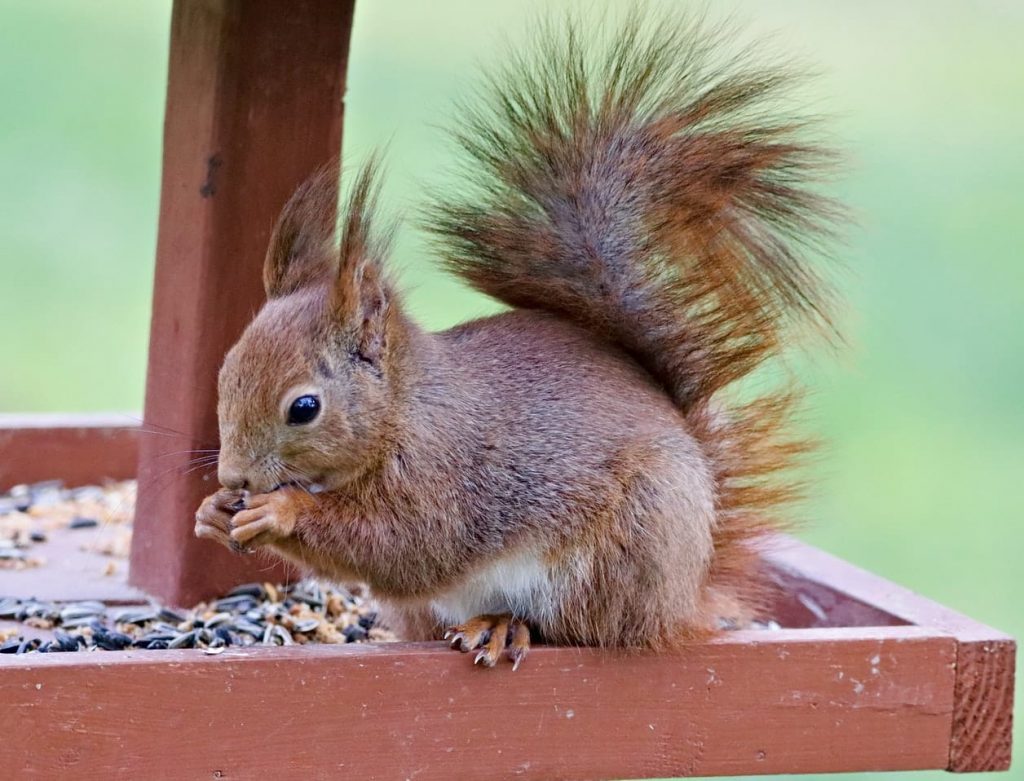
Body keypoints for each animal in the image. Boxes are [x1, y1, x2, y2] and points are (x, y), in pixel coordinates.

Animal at [193, 10, 839, 671]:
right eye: (225, 375)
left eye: (304, 408)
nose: (234, 478)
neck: (404, 411)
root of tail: (688, 594)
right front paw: (213, 515)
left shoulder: (444, 474)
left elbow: (404, 544)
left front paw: (280, 510)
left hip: (624, 547)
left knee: (580, 627)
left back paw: (504, 626)